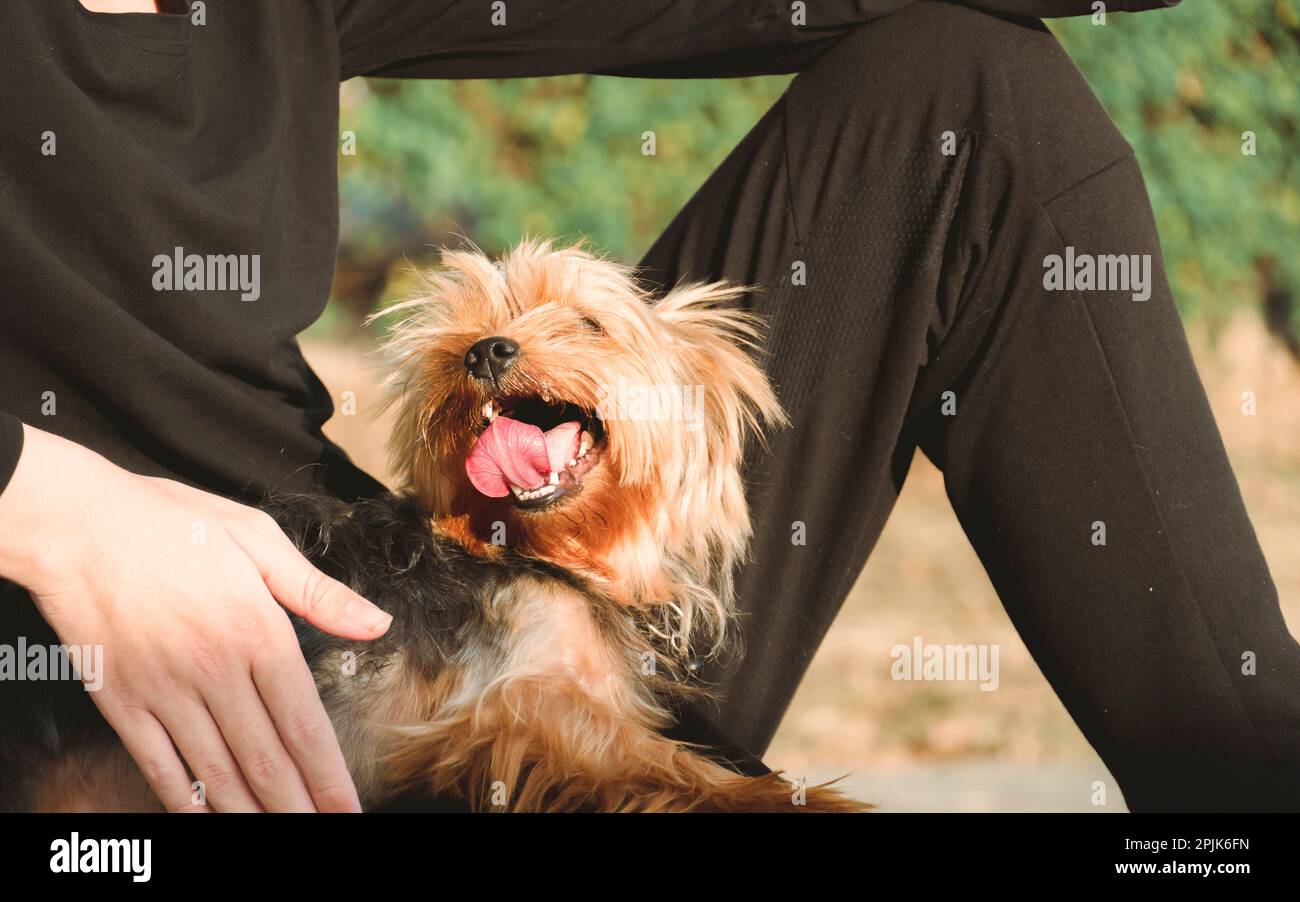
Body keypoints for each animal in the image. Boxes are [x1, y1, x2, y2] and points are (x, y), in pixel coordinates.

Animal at [10, 240, 868, 811]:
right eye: (461, 334)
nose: (485, 351)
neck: (544, 553)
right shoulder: (521, 711)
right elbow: (665, 765)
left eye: (589, 323)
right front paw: (796, 797)